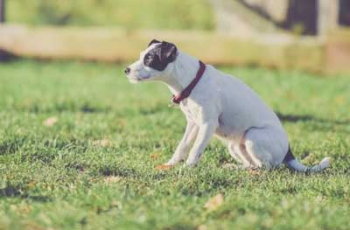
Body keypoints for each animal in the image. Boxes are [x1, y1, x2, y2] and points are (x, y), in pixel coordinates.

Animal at [123, 40, 330, 172]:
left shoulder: (207, 124)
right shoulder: (193, 124)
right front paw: (171, 165)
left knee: (267, 167)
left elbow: (195, 150)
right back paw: (235, 167)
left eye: (149, 59)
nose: (126, 70)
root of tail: (288, 152)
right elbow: (182, 146)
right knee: (254, 164)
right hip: (235, 146)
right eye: (141, 56)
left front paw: (187, 168)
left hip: (253, 136)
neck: (191, 80)